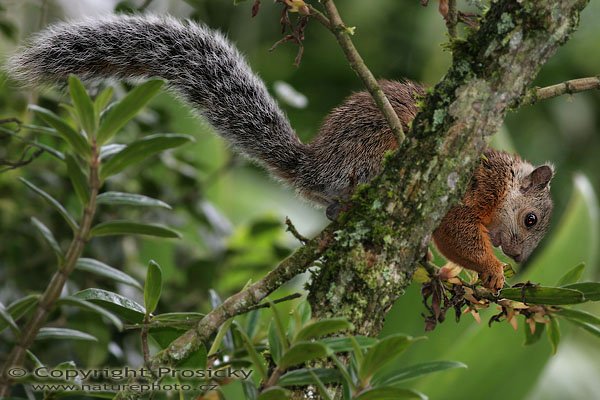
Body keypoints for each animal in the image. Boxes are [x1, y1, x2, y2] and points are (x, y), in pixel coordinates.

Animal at [7, 16, 556, 290]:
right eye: (531, 220)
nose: (519, 257)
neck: (504, 185)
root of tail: (317, 164)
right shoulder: (470, 189)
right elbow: (458, 230)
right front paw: (491, 269)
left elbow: (446, 241)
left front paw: (454, 271)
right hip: (370, 155)